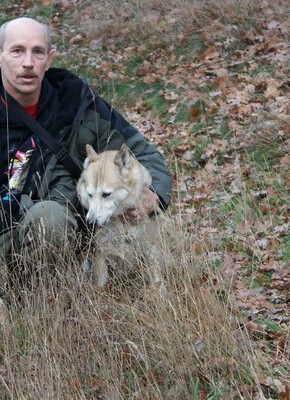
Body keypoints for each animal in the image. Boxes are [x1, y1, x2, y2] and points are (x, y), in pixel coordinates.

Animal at [77, 145, 167, 294]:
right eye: (90, 194)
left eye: (106, 194)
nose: (91, 221)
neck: (122, 222)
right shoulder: (101, 252)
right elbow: (100, 284)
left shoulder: (149, 249)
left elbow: (156, 281)